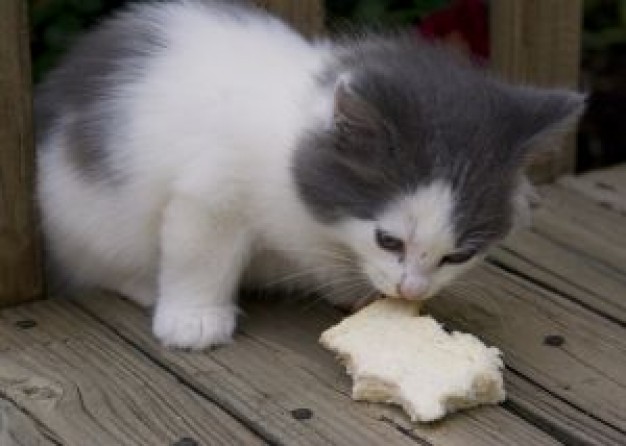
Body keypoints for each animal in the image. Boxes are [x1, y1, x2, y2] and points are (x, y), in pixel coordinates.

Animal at [36, 0, 584, 348]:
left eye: (458, 256)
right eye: (388, 240)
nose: (411, 292)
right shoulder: (211, 194)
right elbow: (200, 258)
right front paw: (194, 320)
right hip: (83, 216)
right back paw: (147, 287)